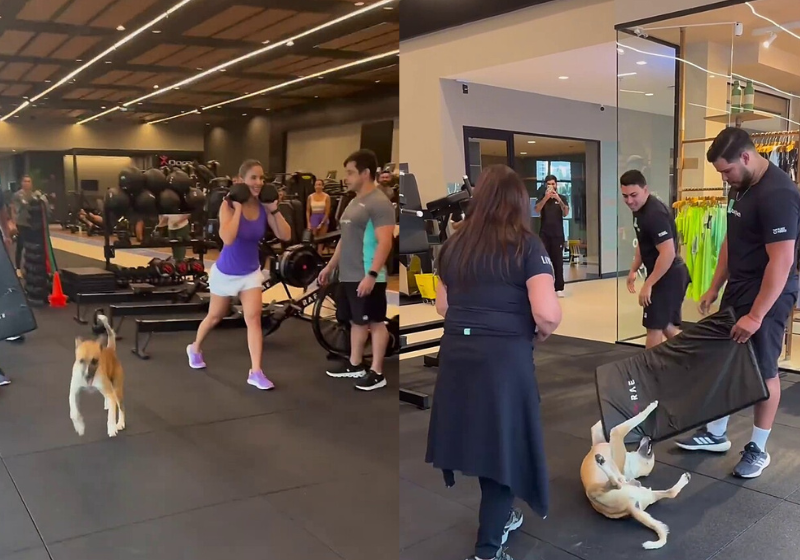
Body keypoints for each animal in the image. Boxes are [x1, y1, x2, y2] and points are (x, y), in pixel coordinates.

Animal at [580, 400, 692, 548]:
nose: (649, 437)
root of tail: (629, 508)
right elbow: (597, 426)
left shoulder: (616, 434)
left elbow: (631, 421)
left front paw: (650, 407)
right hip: (648, 494)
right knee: (671, 493)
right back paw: (684, 479)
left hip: (596, 491)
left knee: (615, 483)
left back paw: (602, 463)